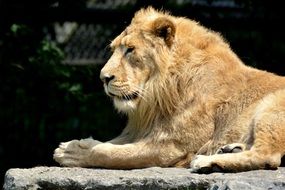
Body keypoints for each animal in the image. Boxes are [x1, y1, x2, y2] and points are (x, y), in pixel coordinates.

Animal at [53, 6, 284, 173]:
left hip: (270, 109)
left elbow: (109, 152)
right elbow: (111, 143)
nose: (103, 77)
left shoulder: (172, 146)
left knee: (267, 156)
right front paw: (77, 144)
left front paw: (69, 152)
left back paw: (207, 162)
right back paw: (228, 149)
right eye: (114, 49)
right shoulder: (142, 130)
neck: (158, 96)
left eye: (130, 50)